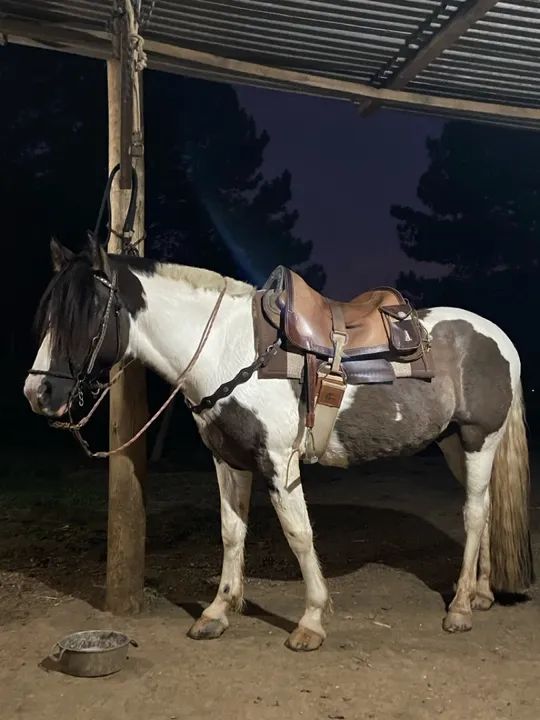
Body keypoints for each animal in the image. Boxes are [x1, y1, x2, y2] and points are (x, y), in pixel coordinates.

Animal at [24, 235, 534, 652]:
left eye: (85, 314)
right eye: (48, 315)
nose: (37, 393)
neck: (228, 349)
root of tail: (501, 338)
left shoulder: (279, 462)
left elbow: (299, 535)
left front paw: (311, 622)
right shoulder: (229, 460)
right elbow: (232, 533)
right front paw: (218, 612)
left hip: (479, 439)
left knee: (473, 514)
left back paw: (461, 608)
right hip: (453, 444)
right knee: (486, 507)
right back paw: (481, 594)